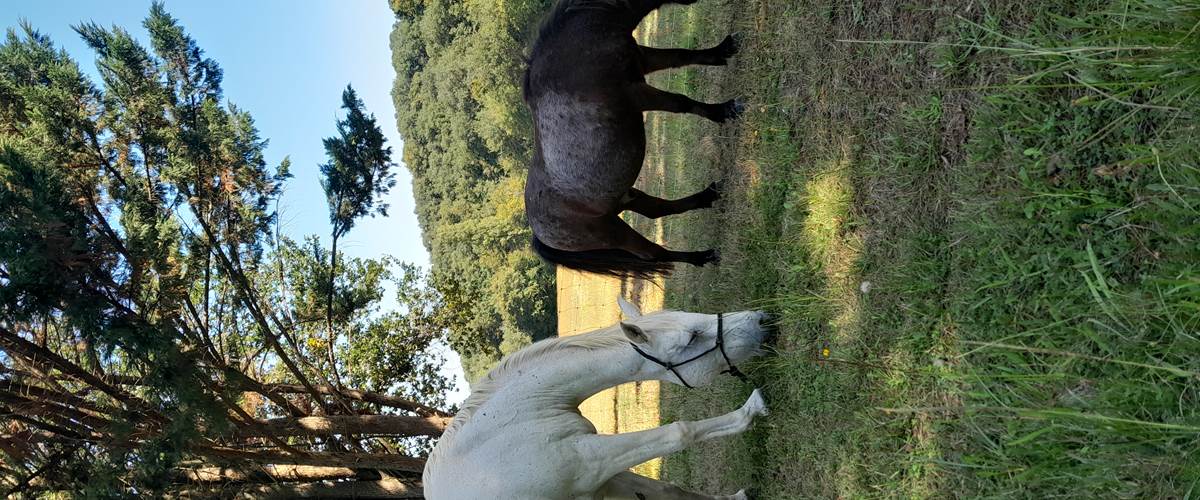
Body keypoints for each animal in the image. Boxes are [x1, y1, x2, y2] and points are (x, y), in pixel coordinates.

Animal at [427, 296, 772, 498]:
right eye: (691, 338)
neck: (520, 418)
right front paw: (751, 409)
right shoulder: (591, 461)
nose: (763, 321)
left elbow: (668, 490)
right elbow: (680, 432)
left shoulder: (602, 479)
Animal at [525, 0, 739, 276]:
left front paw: (723, 49)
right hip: (614, 233)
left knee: (658, 210)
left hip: (625, 199)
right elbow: (681, 102)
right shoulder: (635, 92)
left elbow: (682, 55)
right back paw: (703, 256)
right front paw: (724, 111)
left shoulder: (643, 59)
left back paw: (709, 195)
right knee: (654, 254)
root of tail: (538, 231)